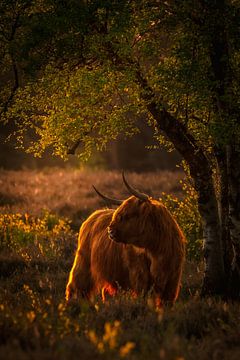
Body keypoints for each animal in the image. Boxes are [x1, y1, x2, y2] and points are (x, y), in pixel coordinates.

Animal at [64, 173, 185, 306]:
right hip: (83, 262)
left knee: (105, 291)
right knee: (76, 286)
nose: (110, 230)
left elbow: (165, 303)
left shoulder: (172, 281)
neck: (157, 249)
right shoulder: (140, 277)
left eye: (128, 215)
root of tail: (94, 215)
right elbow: (145, 299)